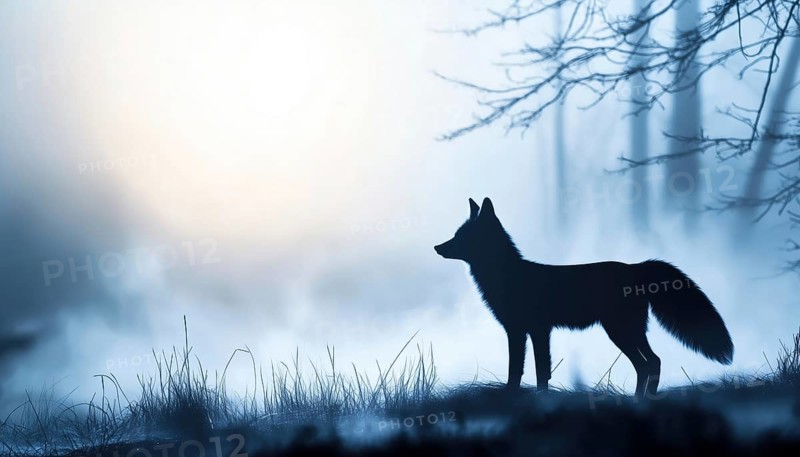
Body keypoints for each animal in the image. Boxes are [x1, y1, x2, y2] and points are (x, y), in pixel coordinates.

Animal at [434, 197, 733, 398]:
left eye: (462, 237)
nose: (437, 247)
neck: (506, 277)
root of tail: (636, 266)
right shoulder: (524, 331)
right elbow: (527, 371)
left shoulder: (532, 330)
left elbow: (530, 370)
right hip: (627, 332)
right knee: (651, 362)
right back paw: (642, 400)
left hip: (620, 332)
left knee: (649, 363)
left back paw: (640, 401)